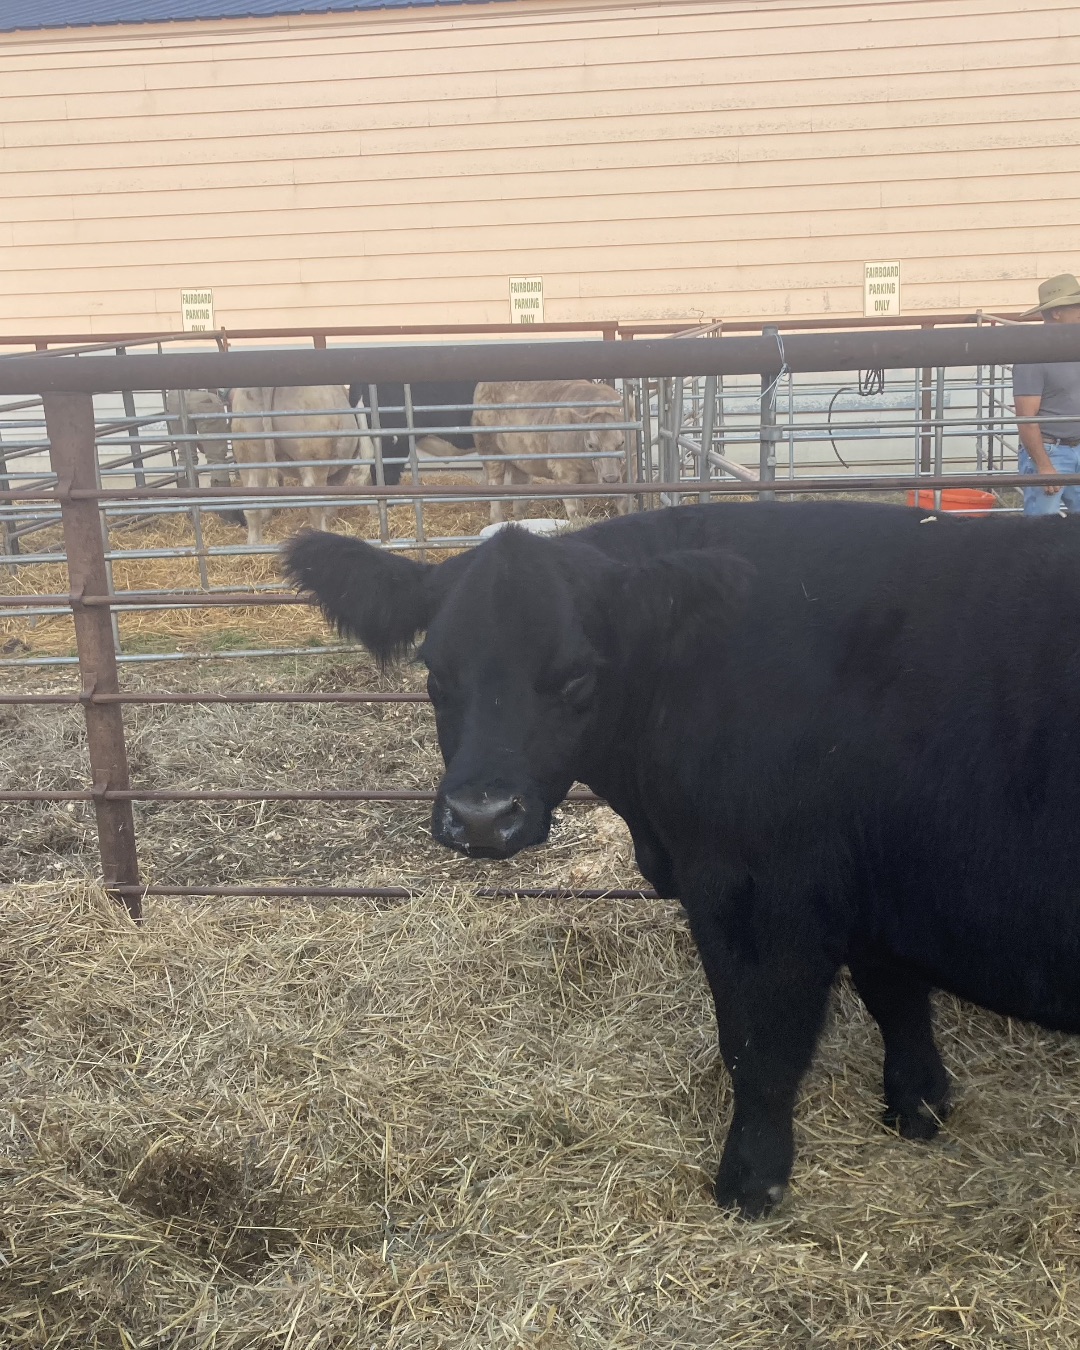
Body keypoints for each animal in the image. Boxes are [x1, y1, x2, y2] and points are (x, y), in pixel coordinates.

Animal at [229, 386, 372, 547]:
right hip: (314, 455)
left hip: (248, 452)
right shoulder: (342, 468)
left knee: (251, 503)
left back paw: (254, 544)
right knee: (314, 504)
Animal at [283, 501, 1080, 1220]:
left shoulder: (758, 891)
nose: (482, 816)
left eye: (576, 675)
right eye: (434, 670)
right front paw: (918, 1108)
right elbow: (897, 996)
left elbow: (758, 1040)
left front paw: (751, 1184)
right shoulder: (873, 885)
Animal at [471, 380, 628, 523]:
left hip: (521, 462)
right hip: (489, 448)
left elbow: (623, 504)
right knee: (495, 485)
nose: (610, 479)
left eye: (621, 442)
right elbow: (574, 509)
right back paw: (497, 520)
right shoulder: (563, 471)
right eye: (591, 445)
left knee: (519, 493)